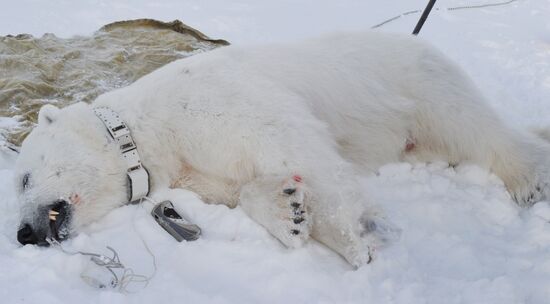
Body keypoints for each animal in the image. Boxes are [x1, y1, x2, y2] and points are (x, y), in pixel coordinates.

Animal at [12, 32, 550, 268]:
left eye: (21, 177)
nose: (22, 233)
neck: (146, 130)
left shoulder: (214, 101)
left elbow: (292, 143)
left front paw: (352, 245)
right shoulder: (193, 168)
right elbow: (243, 185)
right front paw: (289, 212)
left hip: (415, 83)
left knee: (474, 125)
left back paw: (528, 179)